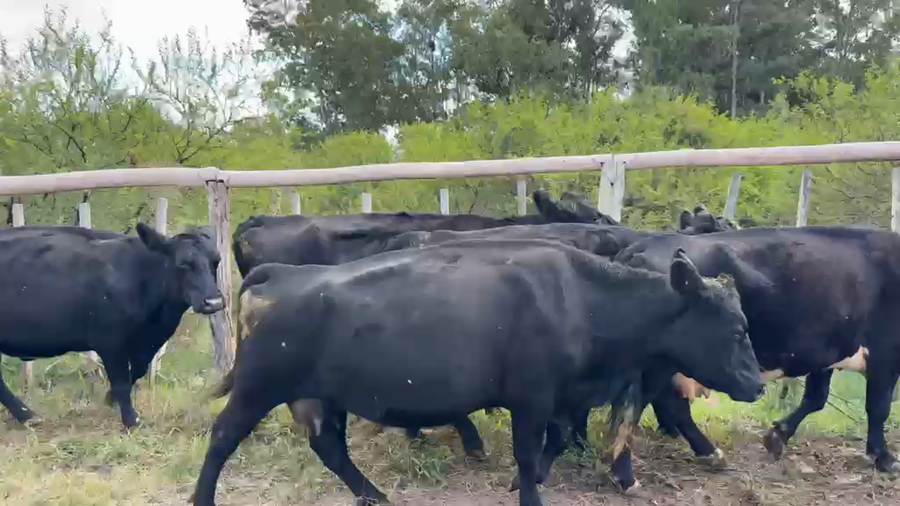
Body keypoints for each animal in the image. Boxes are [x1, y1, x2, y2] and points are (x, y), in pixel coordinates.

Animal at [0, 223, 223, 429]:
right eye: (183, 263)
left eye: (216, 261)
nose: (214, 302)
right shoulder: (109, 342)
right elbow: (122, 382)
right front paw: (131, 420)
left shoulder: (147, 342)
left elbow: (136, 371)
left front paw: (110, 399)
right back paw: (26, 415)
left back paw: (26, 415)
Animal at [191, 239, 762, 506]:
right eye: (737, 329)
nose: (758, 383)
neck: (581, 298)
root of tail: (282, 273)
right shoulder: (532, 397)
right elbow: (530, 450)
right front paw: (530, 491)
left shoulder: (559, 398)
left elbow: (554, 441)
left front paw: (527, 481)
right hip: (257, 388)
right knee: (222, 437)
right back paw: (202, 498)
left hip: (320, 397)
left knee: (330, 448)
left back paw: (374, 494)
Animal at [608, 226, 900, 475]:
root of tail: (642, 245)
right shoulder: (885, 352)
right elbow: (878, 407)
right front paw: (884, 457)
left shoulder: (827, 353)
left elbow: (816, 398)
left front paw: (777, 436)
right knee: (670, 402)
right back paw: (710, 452)